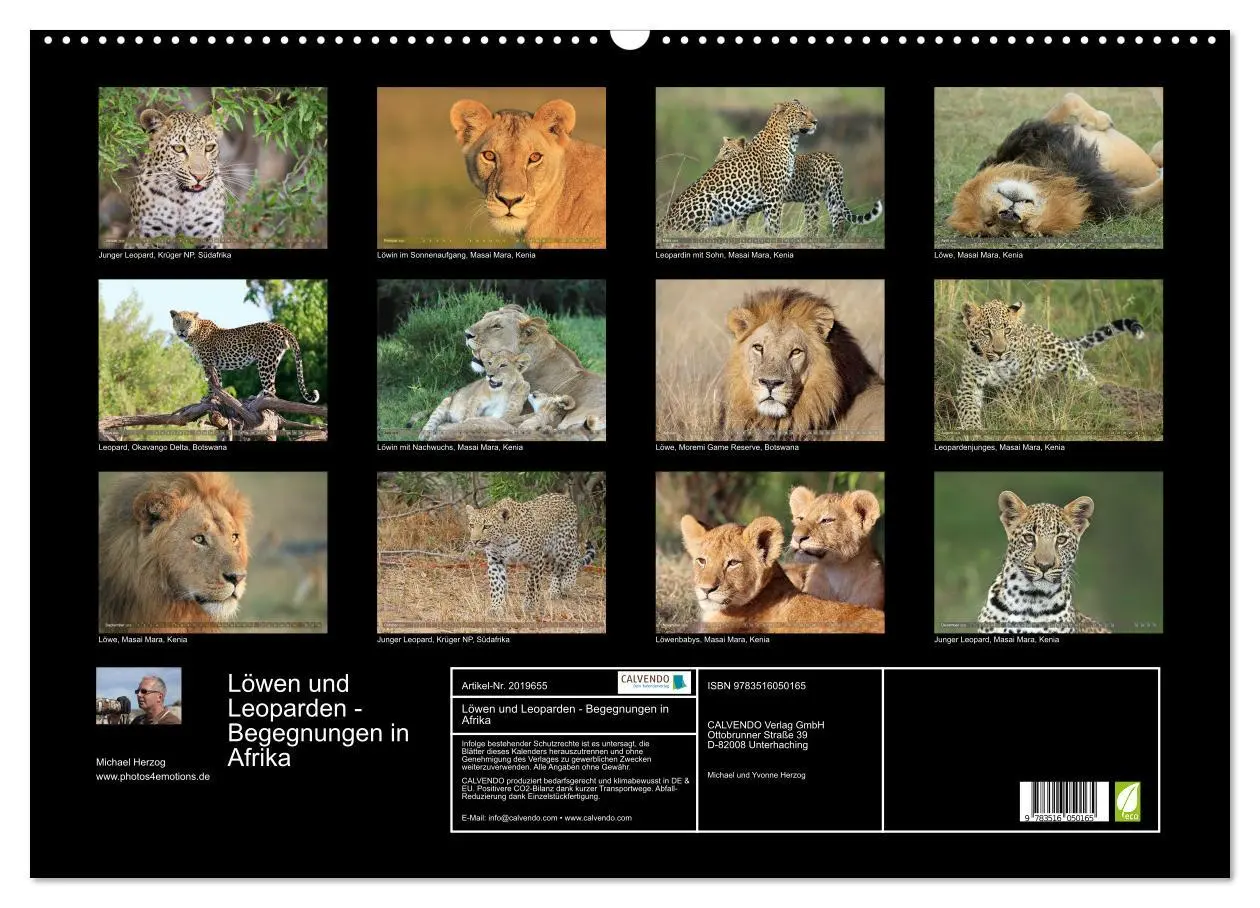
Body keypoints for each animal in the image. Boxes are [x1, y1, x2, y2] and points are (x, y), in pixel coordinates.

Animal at [947, 92, 1163, 237]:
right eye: (990, 223)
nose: (1008, 215)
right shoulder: (1115, 201)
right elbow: (1156, 191)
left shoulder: (1034, 133)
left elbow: (1067, 99)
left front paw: (1099, 120)